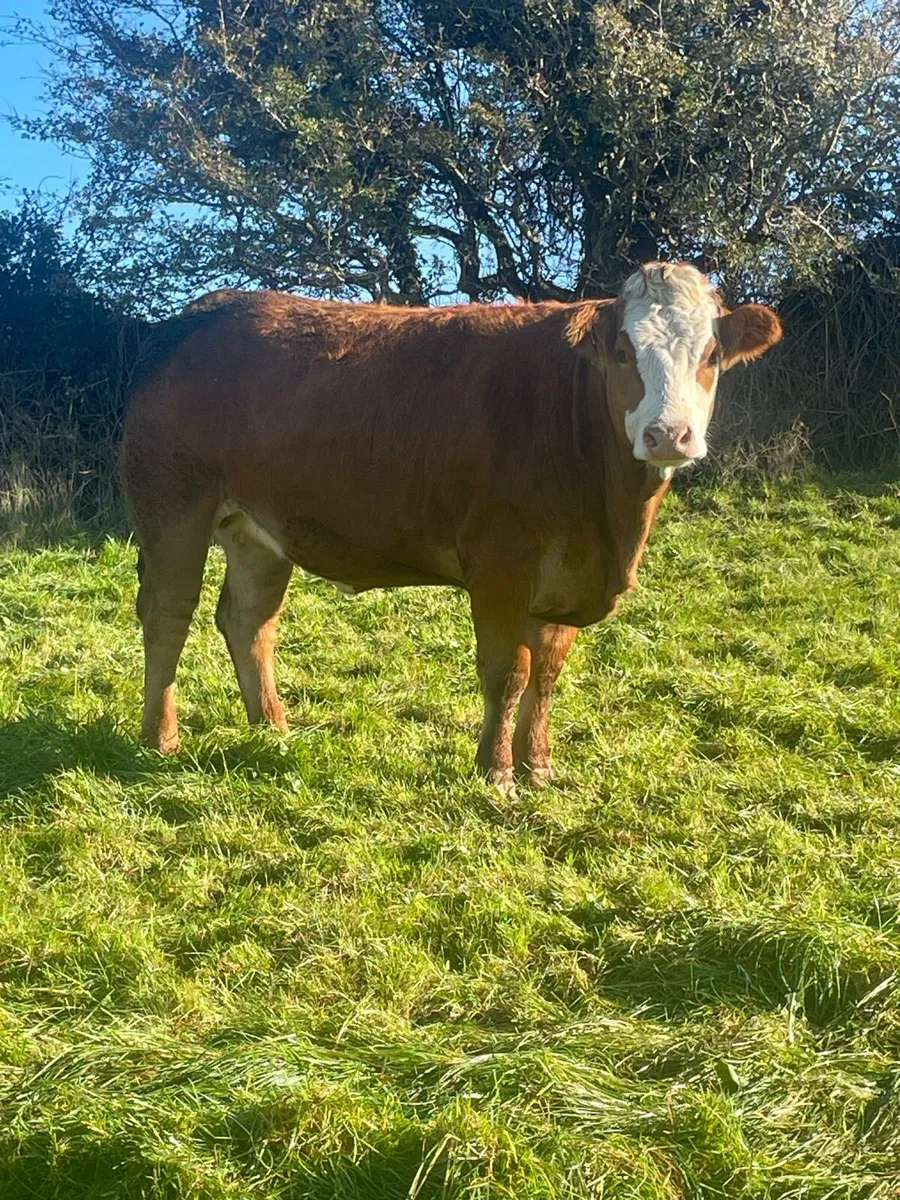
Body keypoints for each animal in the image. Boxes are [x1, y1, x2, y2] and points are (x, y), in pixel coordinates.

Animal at [121, 262, 781, 790]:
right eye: (623, 353)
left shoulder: (565, 577)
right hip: (173, 505)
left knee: (248, 620)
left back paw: (273, 730)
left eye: (711, 357)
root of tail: (201, 314)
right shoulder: (500, 567)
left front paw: (539, 768)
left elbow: (547, 675)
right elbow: (509, 672)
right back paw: (161, 739)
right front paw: (496, 774)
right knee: (169, 613)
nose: (669, 434)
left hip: (257, 529)